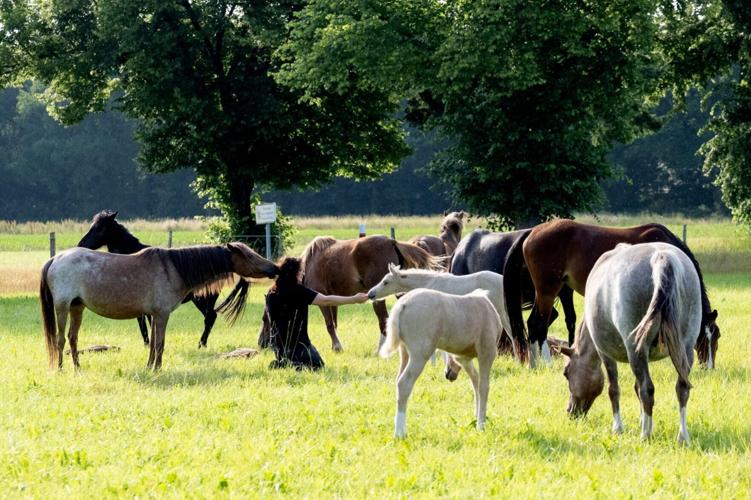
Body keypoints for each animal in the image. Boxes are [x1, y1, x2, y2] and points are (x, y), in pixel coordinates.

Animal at [40, 243, 278, 371]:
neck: (173, 269)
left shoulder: (154, 315)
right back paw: (60, 369)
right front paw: (157, 368)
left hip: (77, 308)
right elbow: (160, 344)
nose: (274, 268)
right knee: (60, 340)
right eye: (249, 255)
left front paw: (149, 367)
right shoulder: (162, 315)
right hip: (62, 307)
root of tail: (55, 259)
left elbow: (153, 343)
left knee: (72, 338)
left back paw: (78, 368)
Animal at [258, 235, 443, 351]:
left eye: (265, 319)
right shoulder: (332, 300)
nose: (261, 344)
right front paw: (335, 346)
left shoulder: (321, 299)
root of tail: (392, 242)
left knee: (383, 322)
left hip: (380, 298)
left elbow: (329, 324)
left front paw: (337, 347)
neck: (308, 265)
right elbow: (334, 324)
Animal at [380, 288, 502, 438]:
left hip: (404, 352)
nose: (448, 374)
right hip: (420, 353)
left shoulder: (463, 357)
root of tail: (402, 305)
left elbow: (476, 381)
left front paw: (476, 418)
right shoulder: (487, 351)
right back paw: (399, 433)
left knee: (398, 381)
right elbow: (484, 386)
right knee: (404, 383)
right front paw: (481, 425)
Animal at [504, 219, 719, 368]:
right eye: (705, 337)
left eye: (716, 337)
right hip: (547, 290)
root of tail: (533, 231)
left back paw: (534, 364)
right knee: (537, 324)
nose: (708, 367)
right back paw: (543, 363)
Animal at [559, 242, 706, 444]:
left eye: (566, 373)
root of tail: (661, 258)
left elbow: (614, 389)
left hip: (636, 350)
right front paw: (642, 421)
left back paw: (646, 436)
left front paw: (618, 428)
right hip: (686, 350)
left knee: (647, 390)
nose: (570, 412)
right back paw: (682, 436)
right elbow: (636, 388)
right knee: (682, 388)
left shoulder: (606, 354)